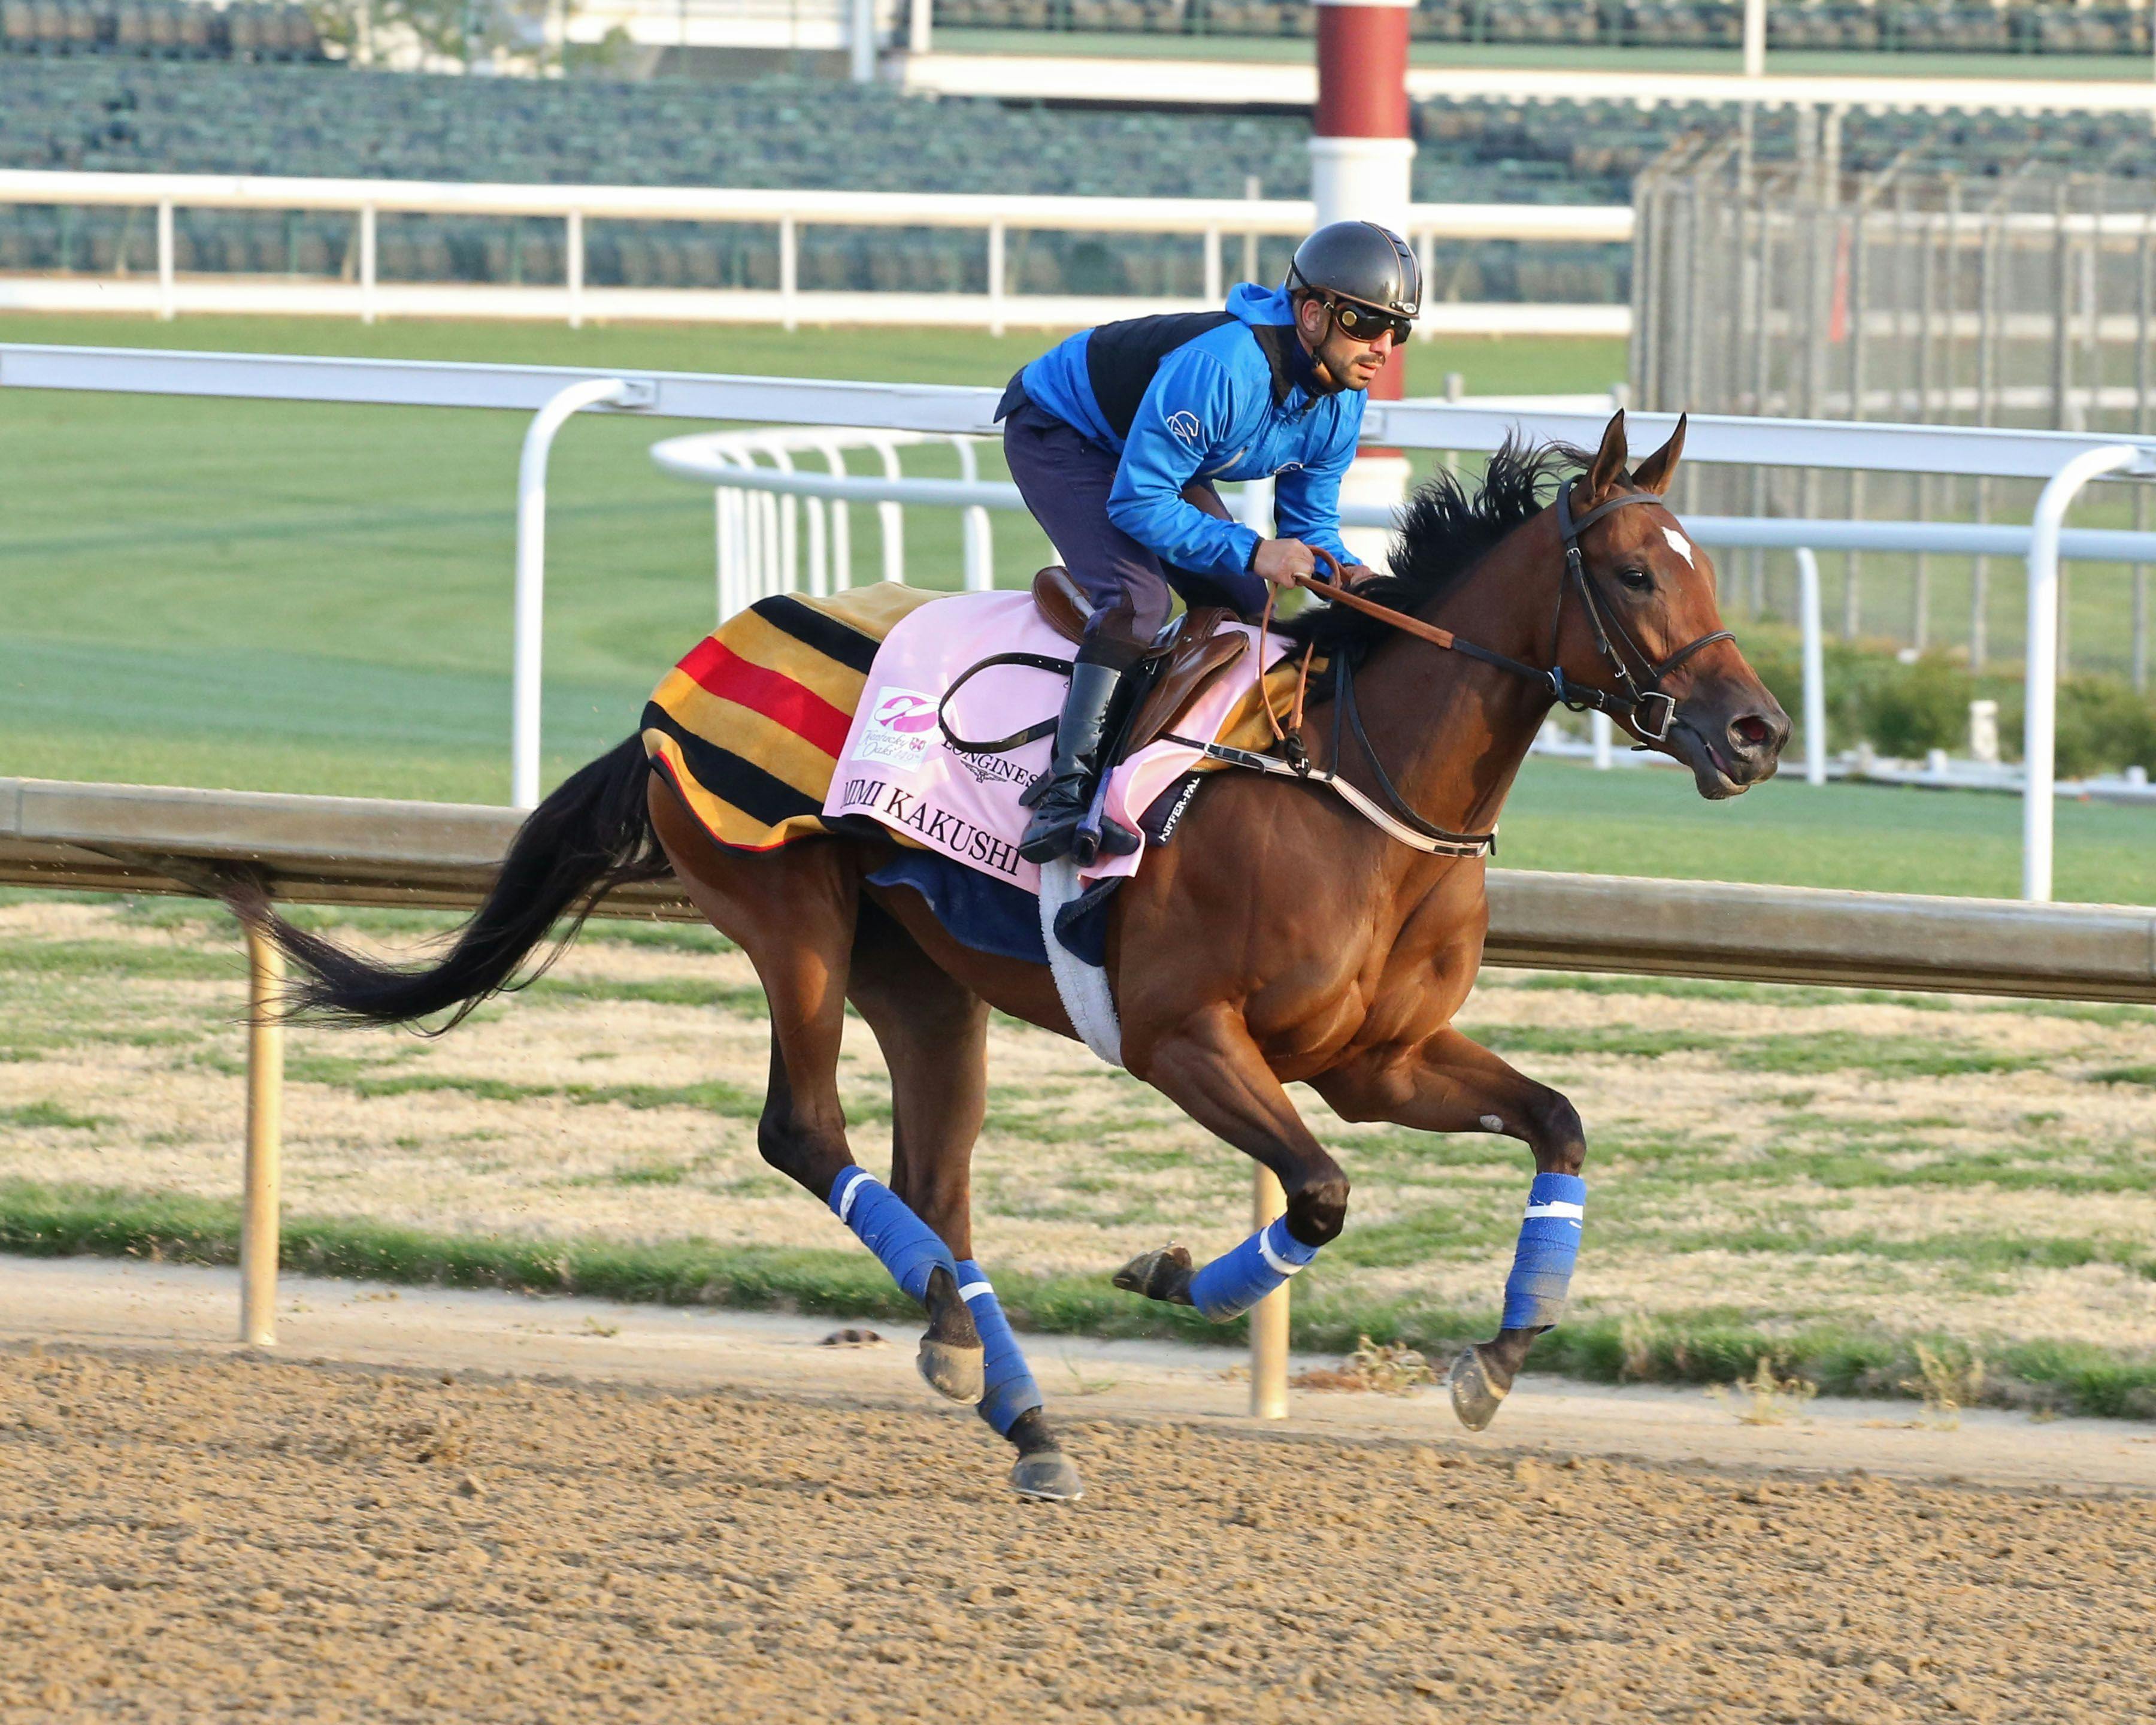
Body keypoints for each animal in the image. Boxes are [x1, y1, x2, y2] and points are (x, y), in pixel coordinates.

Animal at [232, 411, 1785, 1500]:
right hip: (788, 913)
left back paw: (991, 1379)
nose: (1758, 731)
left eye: (1711, 561)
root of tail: (680, 683)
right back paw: (1008, 1387)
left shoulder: (1377, 1058)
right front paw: (1171, 1274)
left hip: (921, 978)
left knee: (933, 1181)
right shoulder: (1181, 1036)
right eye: (1635, 569)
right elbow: (1323, 1193)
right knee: (806, 1133)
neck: (1357, 786)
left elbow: (1557, 1122)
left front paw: (1499, 1357)